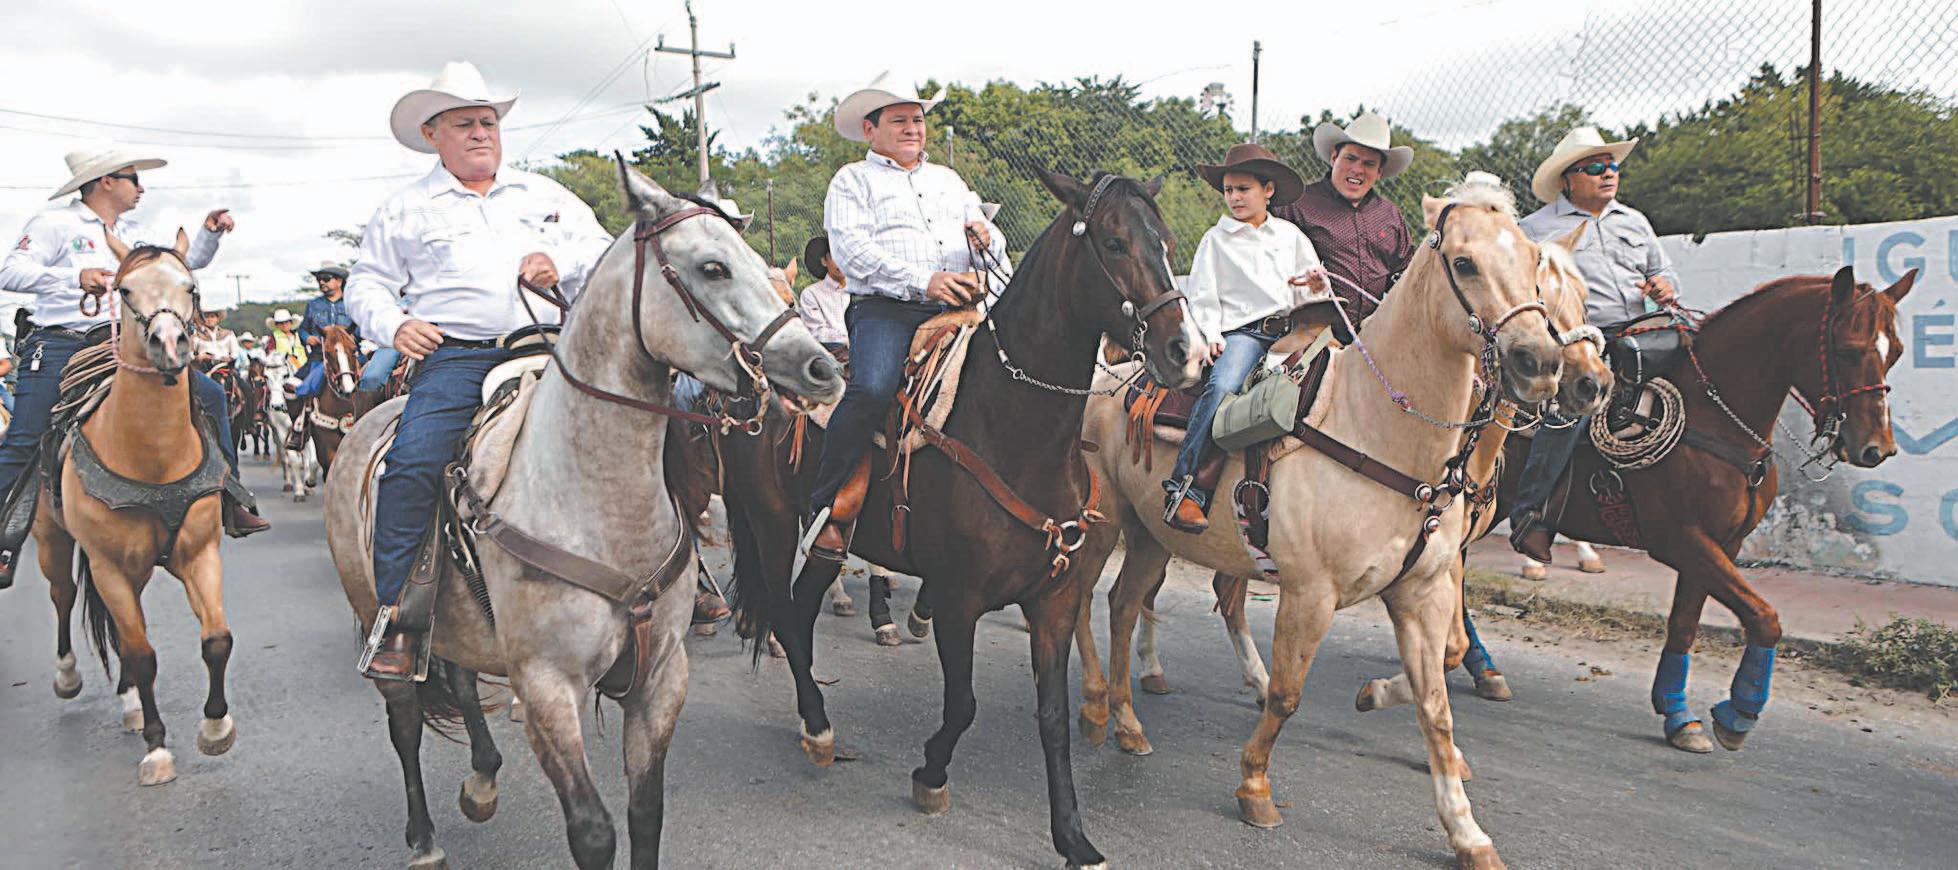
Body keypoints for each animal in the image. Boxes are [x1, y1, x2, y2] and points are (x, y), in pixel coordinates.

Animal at [39, 229, 238, 786]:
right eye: (124, 290)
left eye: (191, 287)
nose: (170, 345)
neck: (153, 457)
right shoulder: (107, 564)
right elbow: (142, 653)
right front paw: (157, 749)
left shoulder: (200, 552)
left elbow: (216, 639)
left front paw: (215, 728)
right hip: (54, 541)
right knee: (64, 595)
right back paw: (70, 676)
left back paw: (128, 701)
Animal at [323, 161, 843, 870]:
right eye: (712, 267)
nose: (821, 368)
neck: (597, 504)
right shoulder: (549, 688)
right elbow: (593, 830)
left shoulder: (660, 680)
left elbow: (646, 813)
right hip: (379, 613)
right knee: (405, 718)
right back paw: (424, 839)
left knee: (459, 676)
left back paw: (483, 778)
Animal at [733, 170, 1205, 868]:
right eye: (1115, 243)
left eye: (1167, 244)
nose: (1188, 353)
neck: (1010, 427)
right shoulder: (957, 600)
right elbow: (963, 704)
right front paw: (930, 774)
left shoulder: (1054, 600)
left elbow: (1052, 717)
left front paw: (1073, 837)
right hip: (770, 522)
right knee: (787, 617)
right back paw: (817, 728)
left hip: (828, 541)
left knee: (802, 604)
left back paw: (810, 715)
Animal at [1470, 265, 1912, 754]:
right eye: (1846, 350)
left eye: (1895, 352)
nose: (1876, 448)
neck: (1716, 416)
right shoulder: (1680, 540)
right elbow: (1764, 617)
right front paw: (1739, 714)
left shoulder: (1720, 545)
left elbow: (1685, 624)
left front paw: (1679, 714)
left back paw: (1481, 666)